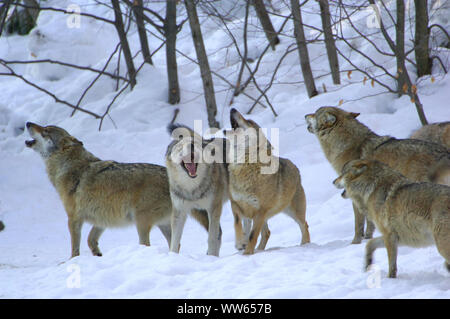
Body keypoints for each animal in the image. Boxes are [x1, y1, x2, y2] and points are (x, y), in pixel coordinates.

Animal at [25, 122, 172, 258]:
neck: (68, 166)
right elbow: (90, 239)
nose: (27, 123)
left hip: (141, 223)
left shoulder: (74, 218)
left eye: (46, 131)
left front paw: (72, 260)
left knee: (146, 245)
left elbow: (75, 247)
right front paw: (97, 254)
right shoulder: (102, 218)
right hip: (163, 225)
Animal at [165, 124, 229, 256]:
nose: (191, 146)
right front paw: (172, 256)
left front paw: (211, 257)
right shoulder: (179, 211)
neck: (192, 188)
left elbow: (211, 238)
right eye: (180, 146)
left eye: (194, 143)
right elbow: (174, 241)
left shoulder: (214, 208)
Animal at [225, 109, 310, 256]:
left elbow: (252, 235)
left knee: (304, 225)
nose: (232, 109)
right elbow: (237, 224)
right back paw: (259, 250)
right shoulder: (236, 204)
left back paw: (305, 245)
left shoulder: (260, 210)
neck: (244, 165)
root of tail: (295, 166)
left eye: (249, 121)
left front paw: (247, 254)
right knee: (267, 232)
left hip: (292, 212)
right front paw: (240, 244)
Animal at [304, 106, 448, 244]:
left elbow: (358, 223)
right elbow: (370, 220)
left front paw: (355, 242)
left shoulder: (355, 194)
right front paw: (368, 237)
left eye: (315, 112)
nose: (305, 115)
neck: (345, 145)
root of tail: (444, 153)